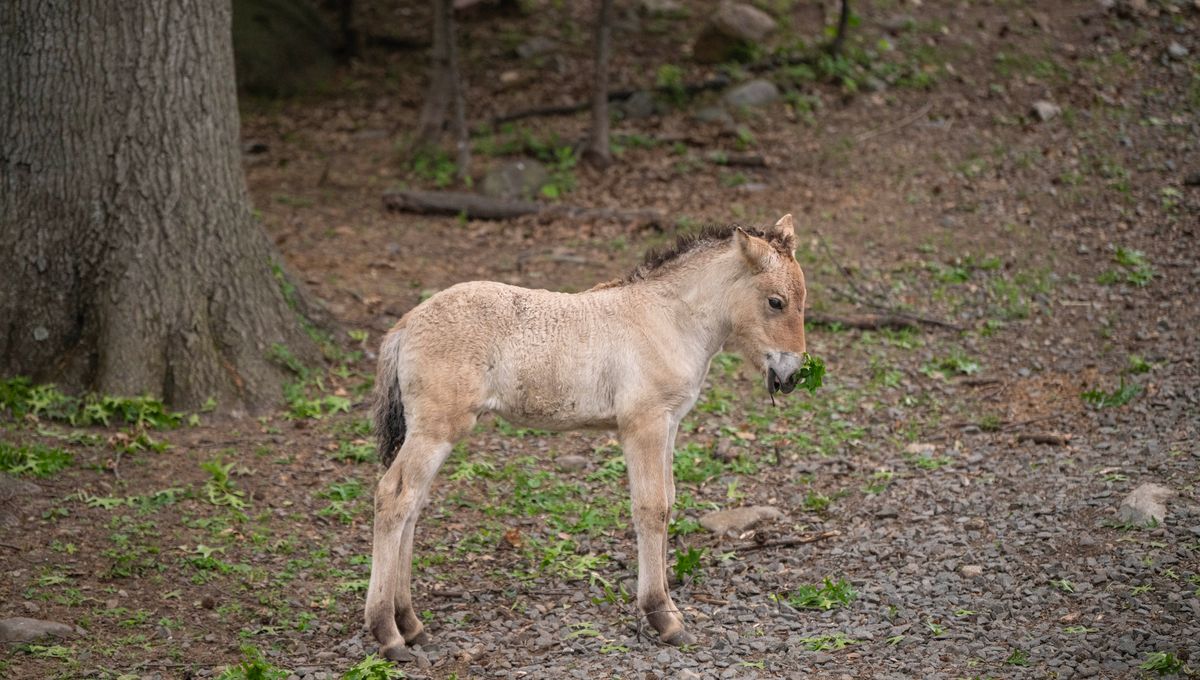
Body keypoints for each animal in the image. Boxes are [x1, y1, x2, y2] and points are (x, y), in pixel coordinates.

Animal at [367, 214, 808, 658]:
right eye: (776, 302)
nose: (790, 376)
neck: (668, 320)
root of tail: (407, 322)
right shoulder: (643, 425)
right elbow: (651, 509)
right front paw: (663, 618)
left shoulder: (669, 424)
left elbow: (668, 502)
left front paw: (669, 609)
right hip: (436, 429)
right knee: (394, 497)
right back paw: (388, 633)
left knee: (413, 504)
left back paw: (411, 624)